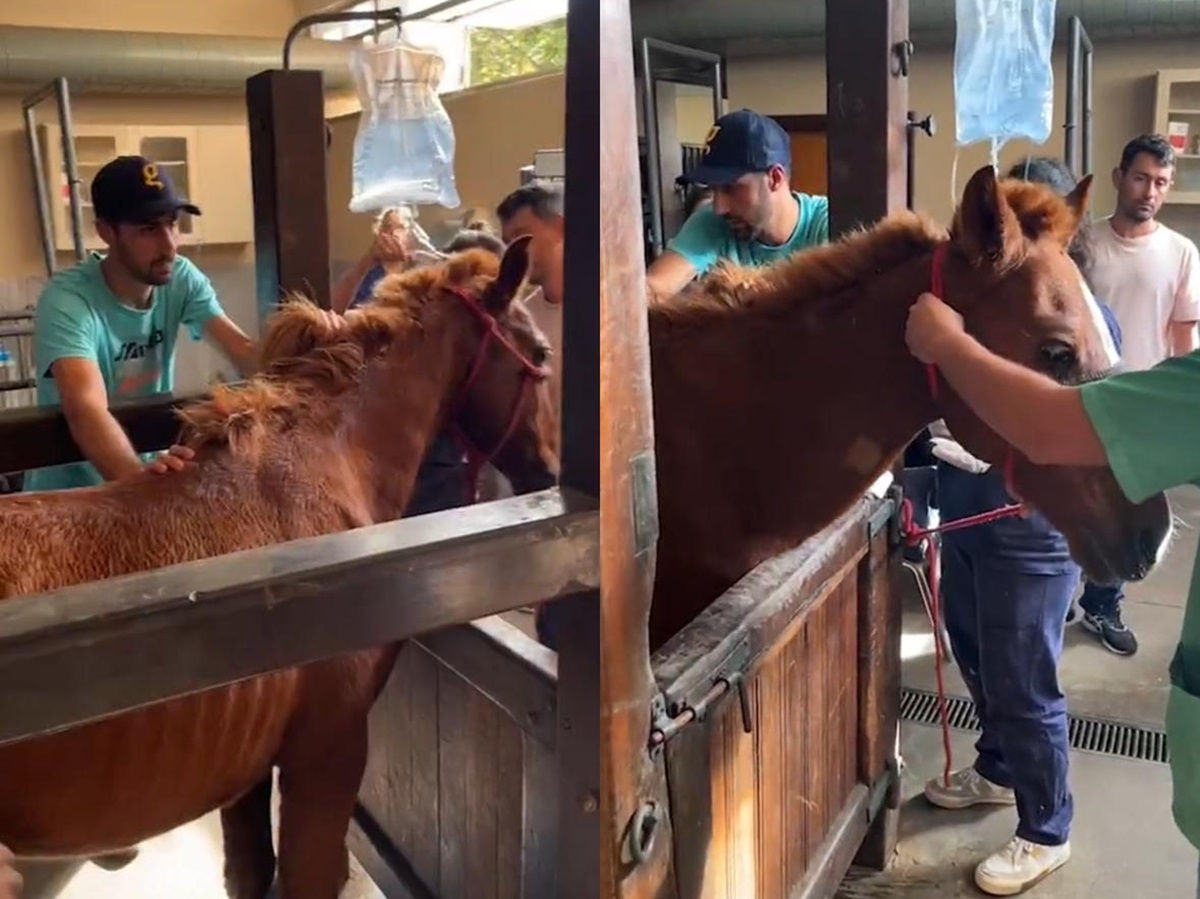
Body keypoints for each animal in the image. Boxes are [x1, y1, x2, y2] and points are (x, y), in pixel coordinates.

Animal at [0, 235, 556, 892]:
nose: (549, 473)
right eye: (541, 352)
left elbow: (248, 871)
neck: (327, 464)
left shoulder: (244, 772)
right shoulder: (325, 755)